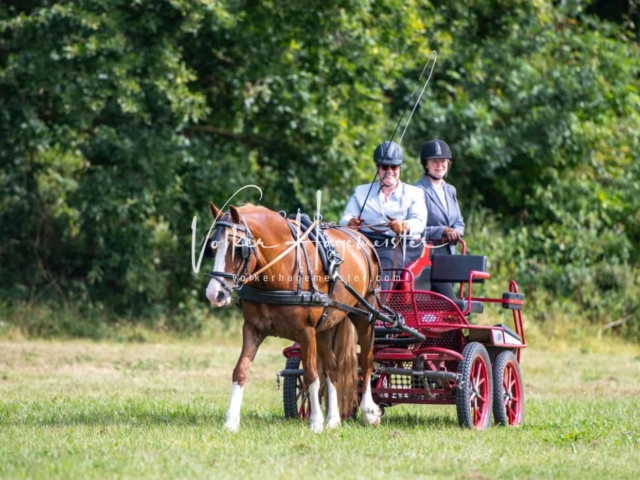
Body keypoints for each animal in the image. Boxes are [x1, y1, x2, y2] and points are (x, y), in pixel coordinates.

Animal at [205, 202, 384, 432]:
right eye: (212, 247)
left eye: (237, 247)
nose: (214, 294)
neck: (279, 271)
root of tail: (362, 238)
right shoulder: (252, 328)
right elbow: (240, 370)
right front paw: (230, 422)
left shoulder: (306, 332)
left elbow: (310, 376)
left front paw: (315, 422)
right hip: (326, 326)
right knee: (332, 367)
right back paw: (333, 419)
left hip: (365, 314)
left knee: (367, 361)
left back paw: (368, 413)